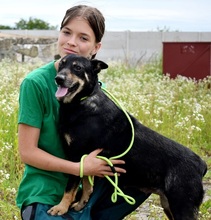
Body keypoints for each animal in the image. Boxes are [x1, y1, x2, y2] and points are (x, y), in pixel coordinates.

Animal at [47, 53, 206, 220]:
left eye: (77, 67)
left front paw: (61, 208)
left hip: (182, 207)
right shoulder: (85, 159)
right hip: (168, 205)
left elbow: (70, 188)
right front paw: (80, 204)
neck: (83, 101)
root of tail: (202, 164)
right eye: (61, 64)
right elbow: (87, 186)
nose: (59, 79)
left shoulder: (76, 156)